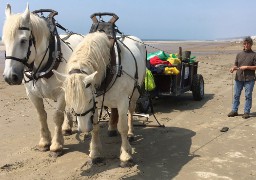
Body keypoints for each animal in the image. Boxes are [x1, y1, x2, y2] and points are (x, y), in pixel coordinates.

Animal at [2, 3, 84, 157]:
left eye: (23, 40)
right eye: (3, 42)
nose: (10, 77)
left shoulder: (62, 92)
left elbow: (57, 116)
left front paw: (56, 145)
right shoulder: (32, 94)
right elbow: (41, 116)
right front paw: (45, 142)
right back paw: (67, 127)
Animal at [56, 31, 147, 167]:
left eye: (89, 100)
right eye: (70, 105)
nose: (84, 129)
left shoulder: (122, 101)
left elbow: (123, 127)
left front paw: (126, 155)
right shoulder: (96, 103)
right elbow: (95, 127)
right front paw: (95, 153)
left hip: (135, 91)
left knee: (131, 111)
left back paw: (131, 133)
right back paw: (111, 129)